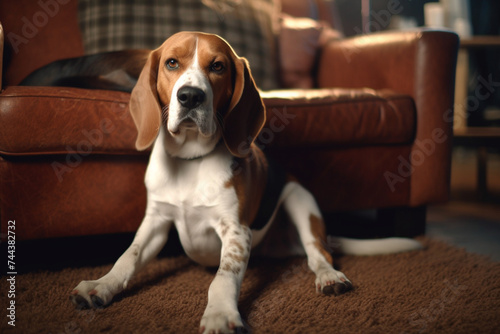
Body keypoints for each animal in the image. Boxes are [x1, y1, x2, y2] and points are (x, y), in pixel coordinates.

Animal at [68, 32, 420, 334]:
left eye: (217, 66)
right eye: (171, 63)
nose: (190, 96)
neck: (191, 160)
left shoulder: (236, 231)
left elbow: (223, 277)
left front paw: (220, 313)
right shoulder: (156, 221)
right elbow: (128, 256)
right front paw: (102, 285)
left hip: (300, 198)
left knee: (318, 253)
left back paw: (330, 276)